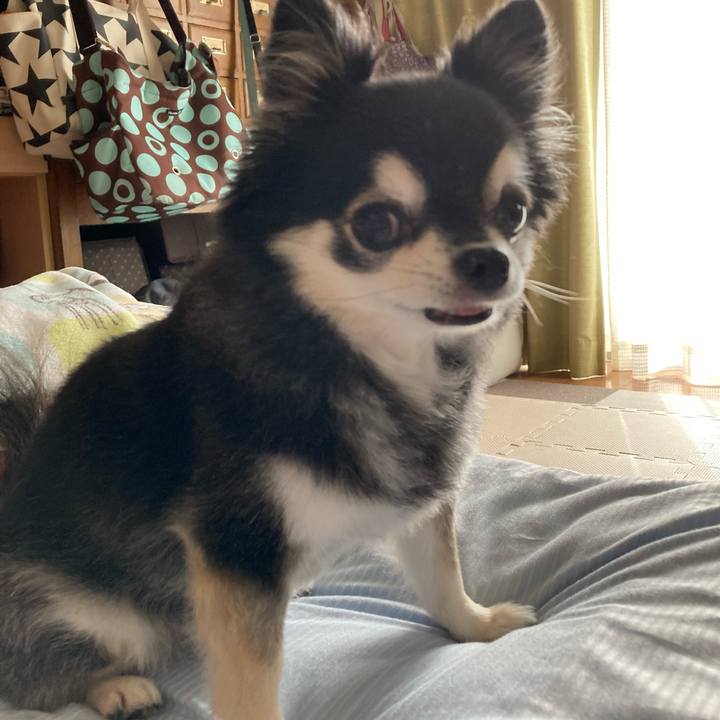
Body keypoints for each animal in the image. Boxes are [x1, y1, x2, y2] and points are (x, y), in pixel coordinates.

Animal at [0, 0, 569, 717]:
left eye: (513, 212)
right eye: (376, 224)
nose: (491, 262)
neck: (361, 355)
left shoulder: (421, 506)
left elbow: (443, 571)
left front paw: (477, 623)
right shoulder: (236, 551)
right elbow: (251, 677)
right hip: (96, 614)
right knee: (43, 673)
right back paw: (115, 687)